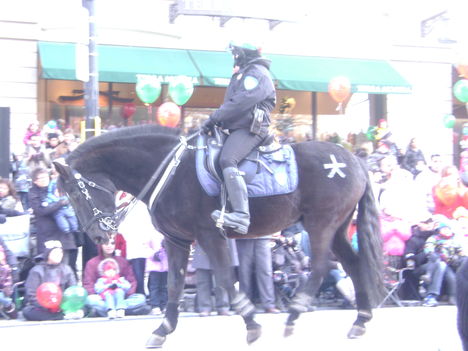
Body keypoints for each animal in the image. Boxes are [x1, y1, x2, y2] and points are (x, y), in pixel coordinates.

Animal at [54, 125, 384, 348]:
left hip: (321, 224)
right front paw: (162, 330)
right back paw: (361, 320)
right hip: (338, 227)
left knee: (320, 267)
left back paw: (294, 315)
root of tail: (353, 160)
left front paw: (251, 322)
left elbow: (225, 278)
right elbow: (174, 285)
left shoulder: (210, 236)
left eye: (74, 193)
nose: (98, 236)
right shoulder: (176, 240)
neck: (170, 172)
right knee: (354, 265)